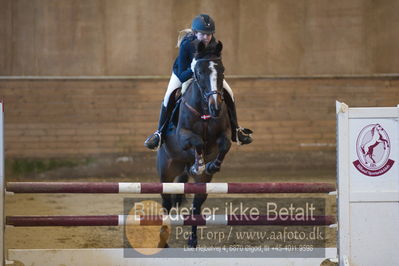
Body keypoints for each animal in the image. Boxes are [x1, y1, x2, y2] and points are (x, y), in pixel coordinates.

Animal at [156, 40, 231, 248]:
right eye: (198, 72)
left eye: (222, 70)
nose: (215, 107)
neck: (205, 108)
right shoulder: (183, 136)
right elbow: (197, 141)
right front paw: (199, 164)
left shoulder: (223, 134)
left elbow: (225, 144)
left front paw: (212, 165)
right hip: (166, 171)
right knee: (166, 203)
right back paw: (163, 240)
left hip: (202, 183)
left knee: (197, 206)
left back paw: (193, 240)